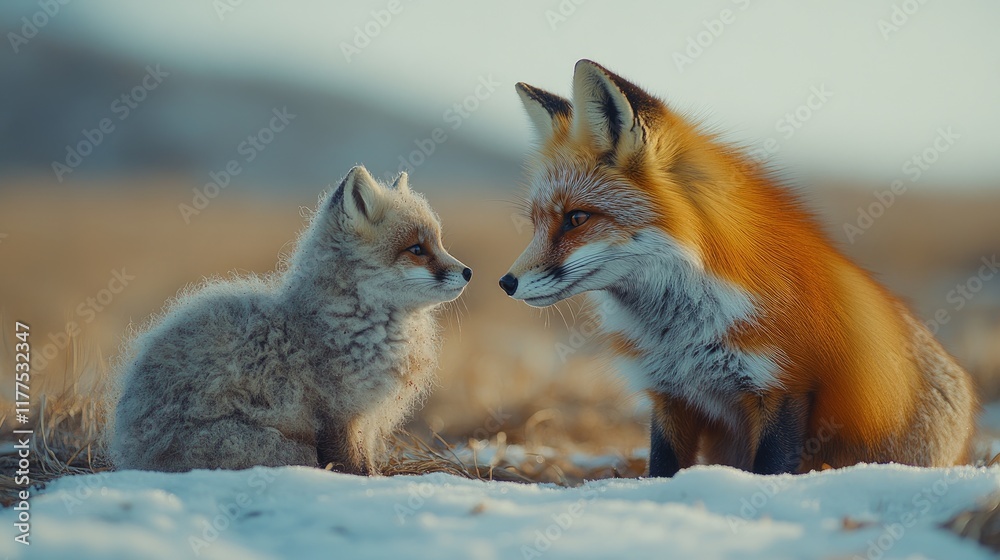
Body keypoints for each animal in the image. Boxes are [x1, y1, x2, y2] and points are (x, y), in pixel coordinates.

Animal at [109, 165, 471, 474]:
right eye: (417, 249)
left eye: (439, 243)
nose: (468, 272)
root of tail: (127, 447)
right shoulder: (339, 416)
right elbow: (355, 467)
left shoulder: (365, 422)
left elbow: (367, 462)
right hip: (283, 449)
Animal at [499, 59, 978, 476]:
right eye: (536, 222)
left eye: (577, 218)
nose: (506, 282)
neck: (681, 334)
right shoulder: (670, 394)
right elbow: (662, 467)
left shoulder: (783, 385)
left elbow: (769, 470)